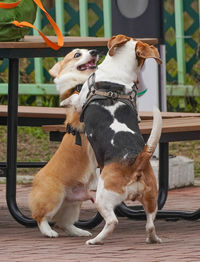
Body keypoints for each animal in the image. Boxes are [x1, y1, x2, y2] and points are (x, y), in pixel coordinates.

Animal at [28, 48, 98, 237]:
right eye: (77, 55)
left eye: (89, 51)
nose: (94, 51)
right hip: (55, 196)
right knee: (41, 217)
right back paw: (49, 232)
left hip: (73, 204)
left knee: (64, 223)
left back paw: (80, 232)